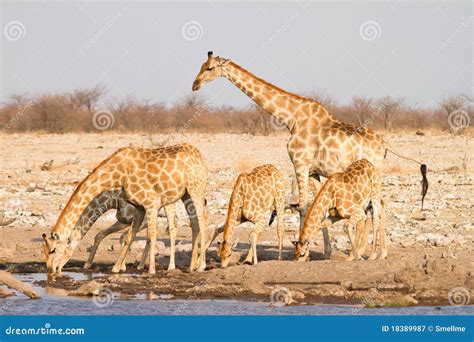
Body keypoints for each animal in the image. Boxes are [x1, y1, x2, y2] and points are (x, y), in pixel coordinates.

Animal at [42, 142, 207, 276]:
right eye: (43, 250)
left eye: (53, 250)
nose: (51, 270)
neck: (118, 175)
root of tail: (200, 156)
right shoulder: (140, 207)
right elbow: (129, 237)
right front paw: (116, 268)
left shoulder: (151, 203)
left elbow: (150, 236)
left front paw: (150, 270)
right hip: (186, 194)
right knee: (194, 224)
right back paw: (191, 267)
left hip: (195, 189)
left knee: (202, 221)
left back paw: (199, 266)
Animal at [191, 51, 428, 260]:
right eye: (201, 66)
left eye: (210, 68)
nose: (195, 85)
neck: (291, 118)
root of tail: (385, 146)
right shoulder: (314, 171)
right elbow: (314, 206)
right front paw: (325, 251)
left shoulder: (300, 163)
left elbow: (303, 206)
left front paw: (303, 253)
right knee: (379, 207)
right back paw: (375, 252)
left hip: (373, 177)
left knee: (378, 208)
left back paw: (372, 254)